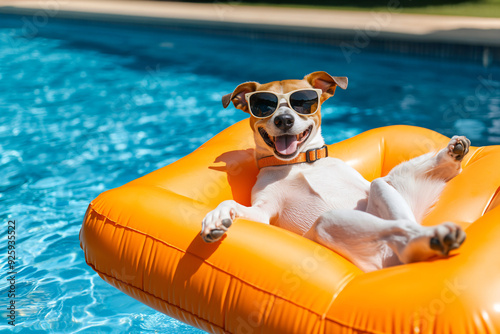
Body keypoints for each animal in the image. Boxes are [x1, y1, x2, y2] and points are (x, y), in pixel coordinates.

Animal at [199, 70, 468, 272]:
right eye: (263, 106)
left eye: (304, 102)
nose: (284, 120)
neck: (298, 164)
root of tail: (391, 264)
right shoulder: (263, 212)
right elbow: (231, 205)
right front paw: (216, 217)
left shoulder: (366, 187)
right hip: (330, 225)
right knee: (401, 234)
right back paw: (433, 237)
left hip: (380, 190)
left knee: (401, 212)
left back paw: (450, 156)